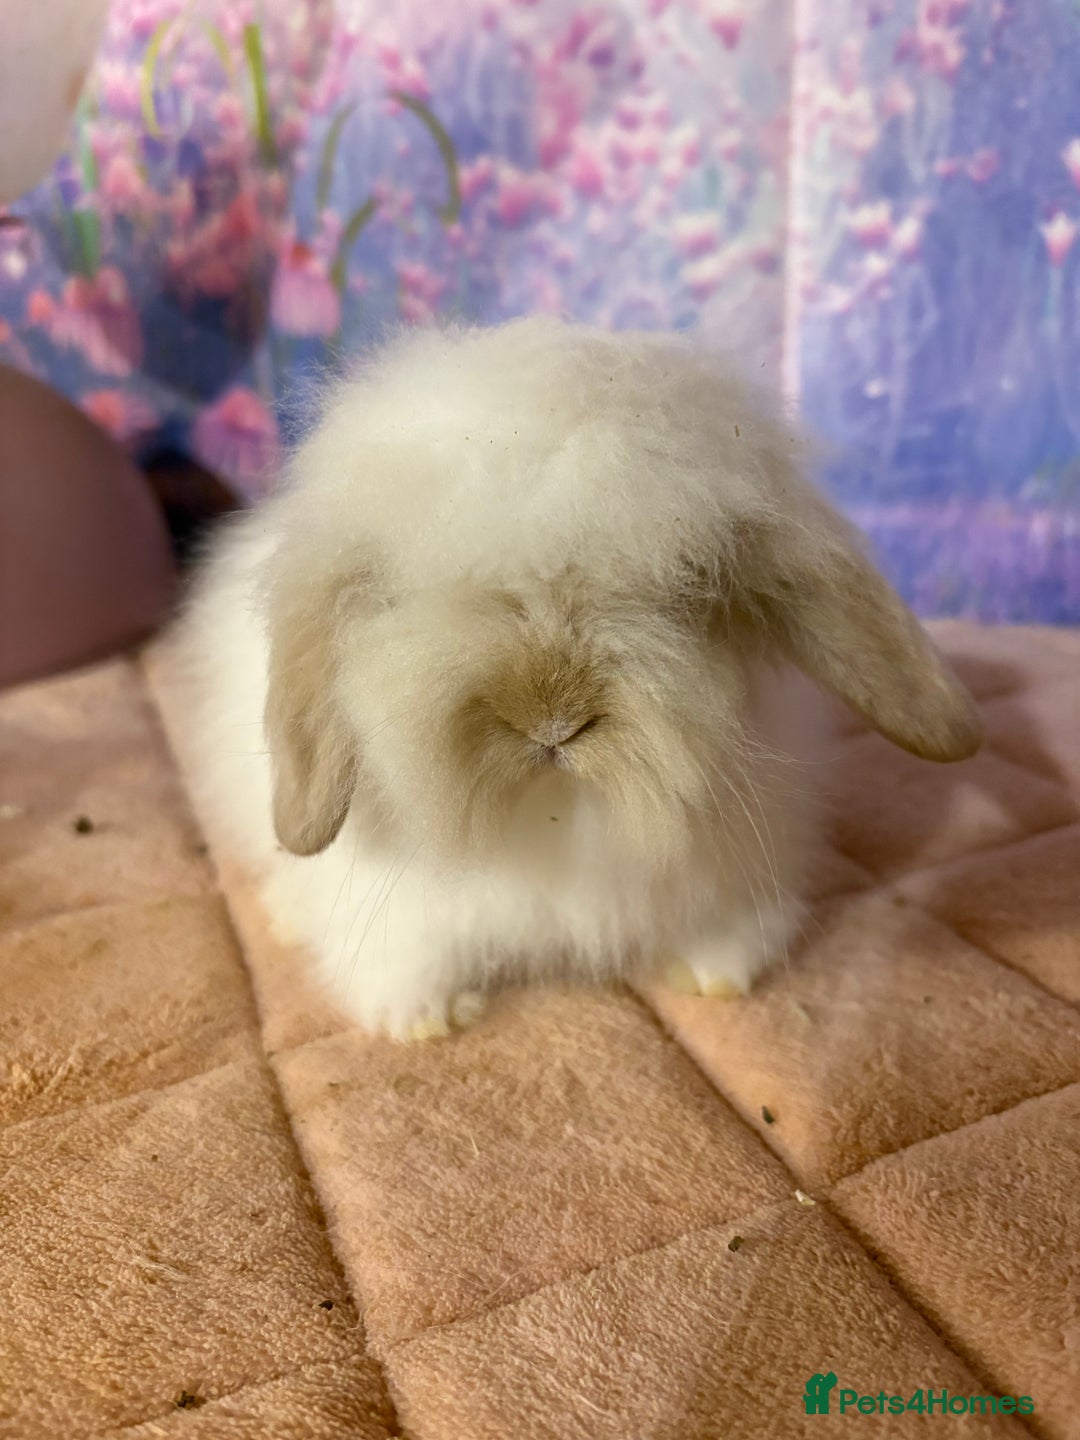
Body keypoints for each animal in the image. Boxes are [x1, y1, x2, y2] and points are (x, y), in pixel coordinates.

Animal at [164, 317, 981, 1041]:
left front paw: (718, 974)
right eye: (401, 597)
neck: (560, 814)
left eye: (689, 586)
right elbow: (409, 958)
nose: (551, 719)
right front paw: (423, 1020)